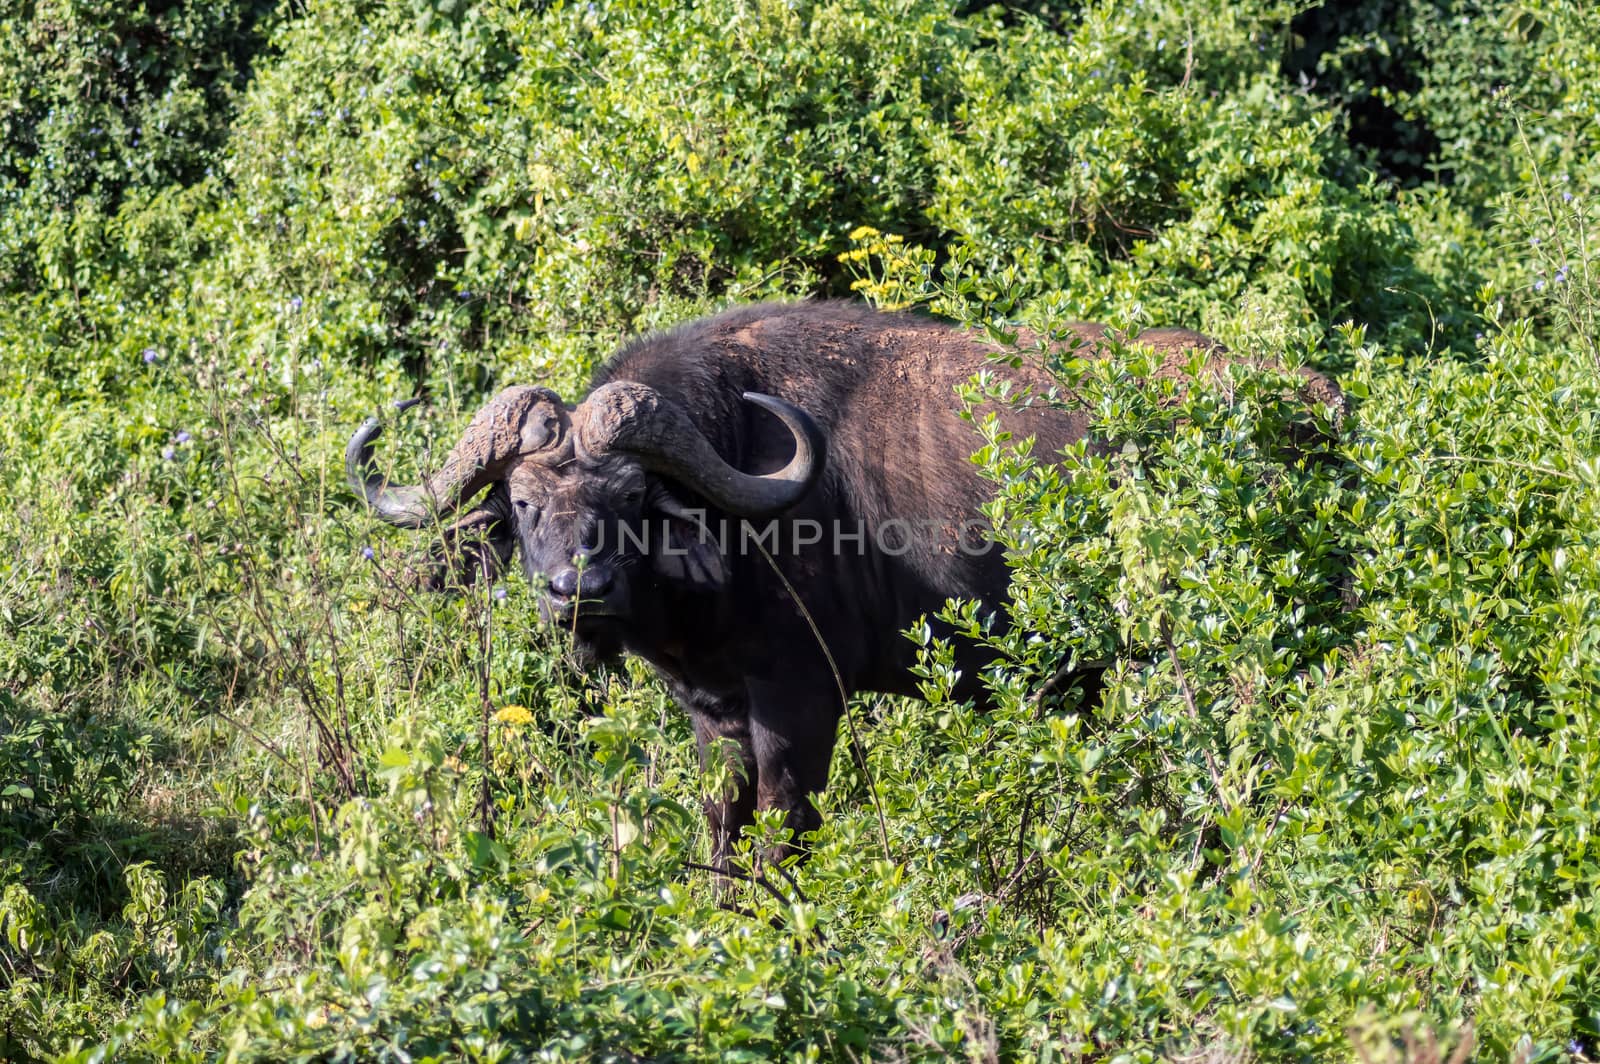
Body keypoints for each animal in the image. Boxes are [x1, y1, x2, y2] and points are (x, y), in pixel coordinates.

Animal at [344, 302, 1344, 870]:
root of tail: (1315, 399)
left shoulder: (801, 705)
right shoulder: (714, 716)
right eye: (520, 501)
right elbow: (723, 826)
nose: (571, 589)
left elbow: (786, 825)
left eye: (628, 497)